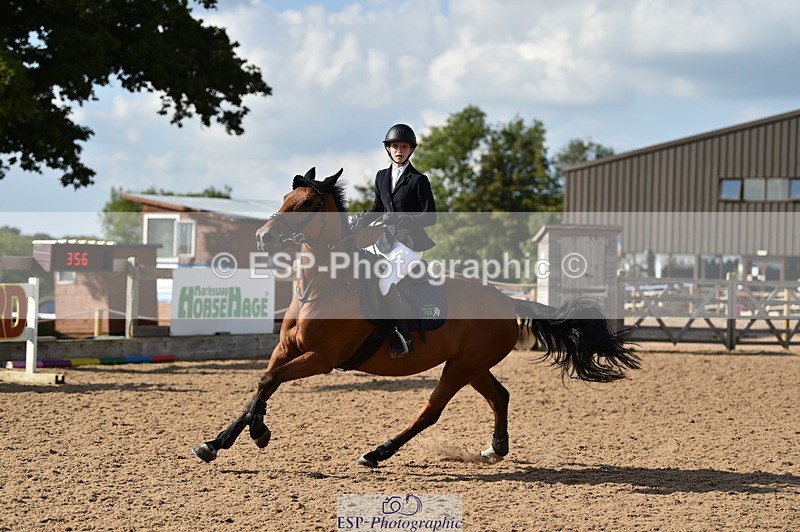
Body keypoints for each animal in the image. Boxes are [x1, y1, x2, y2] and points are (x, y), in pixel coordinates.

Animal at [191, 167, 640, 468]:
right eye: (286, 201)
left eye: (308, 204)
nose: (263, 237)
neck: (322, 286)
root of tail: (506, 300)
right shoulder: (286, 349)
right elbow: (261, 385)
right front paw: (221, 441)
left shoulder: (322, 358)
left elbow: (269, 381)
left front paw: (257, 433)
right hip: (471, 364)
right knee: (499, 395)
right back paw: (495, 448)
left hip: (460, 367)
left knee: (431, 411)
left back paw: (377, 452)